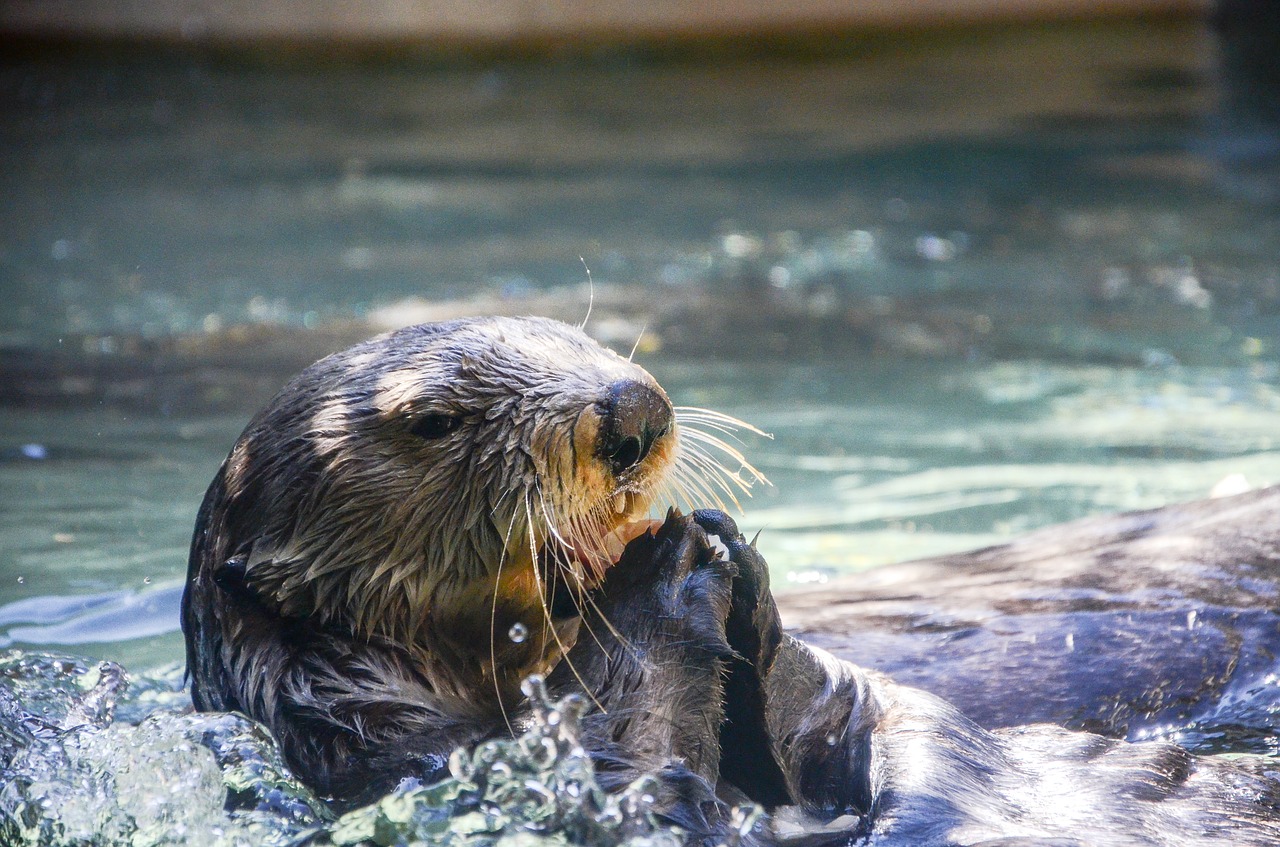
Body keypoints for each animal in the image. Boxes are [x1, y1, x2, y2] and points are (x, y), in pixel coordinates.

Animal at [185, 319, 1280, 847]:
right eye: (433, 421)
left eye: (577, 336)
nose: (632, 406)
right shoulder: (406, 761)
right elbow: (647, 798)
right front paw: (655, 581)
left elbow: (857, 717)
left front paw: (731, 568)